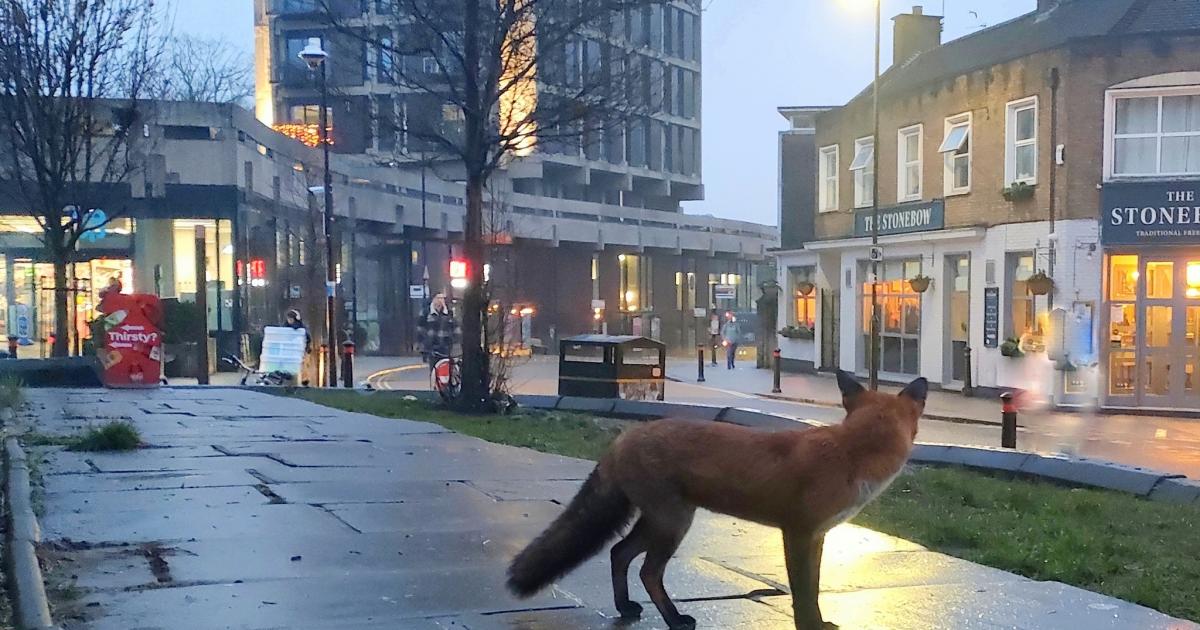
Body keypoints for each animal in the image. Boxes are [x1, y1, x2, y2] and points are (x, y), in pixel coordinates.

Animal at [506, 370, 926, 630]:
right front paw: (808, 624)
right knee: (647, 571)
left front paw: (820, 621)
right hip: (674, 523)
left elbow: (815, 588)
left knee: (619, 553)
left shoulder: (819, 537)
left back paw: (626, 608)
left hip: (660, 521)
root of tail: (622, 438)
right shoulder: (797, 533)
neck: (849, 453)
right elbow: (802, 593)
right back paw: (675, 620)